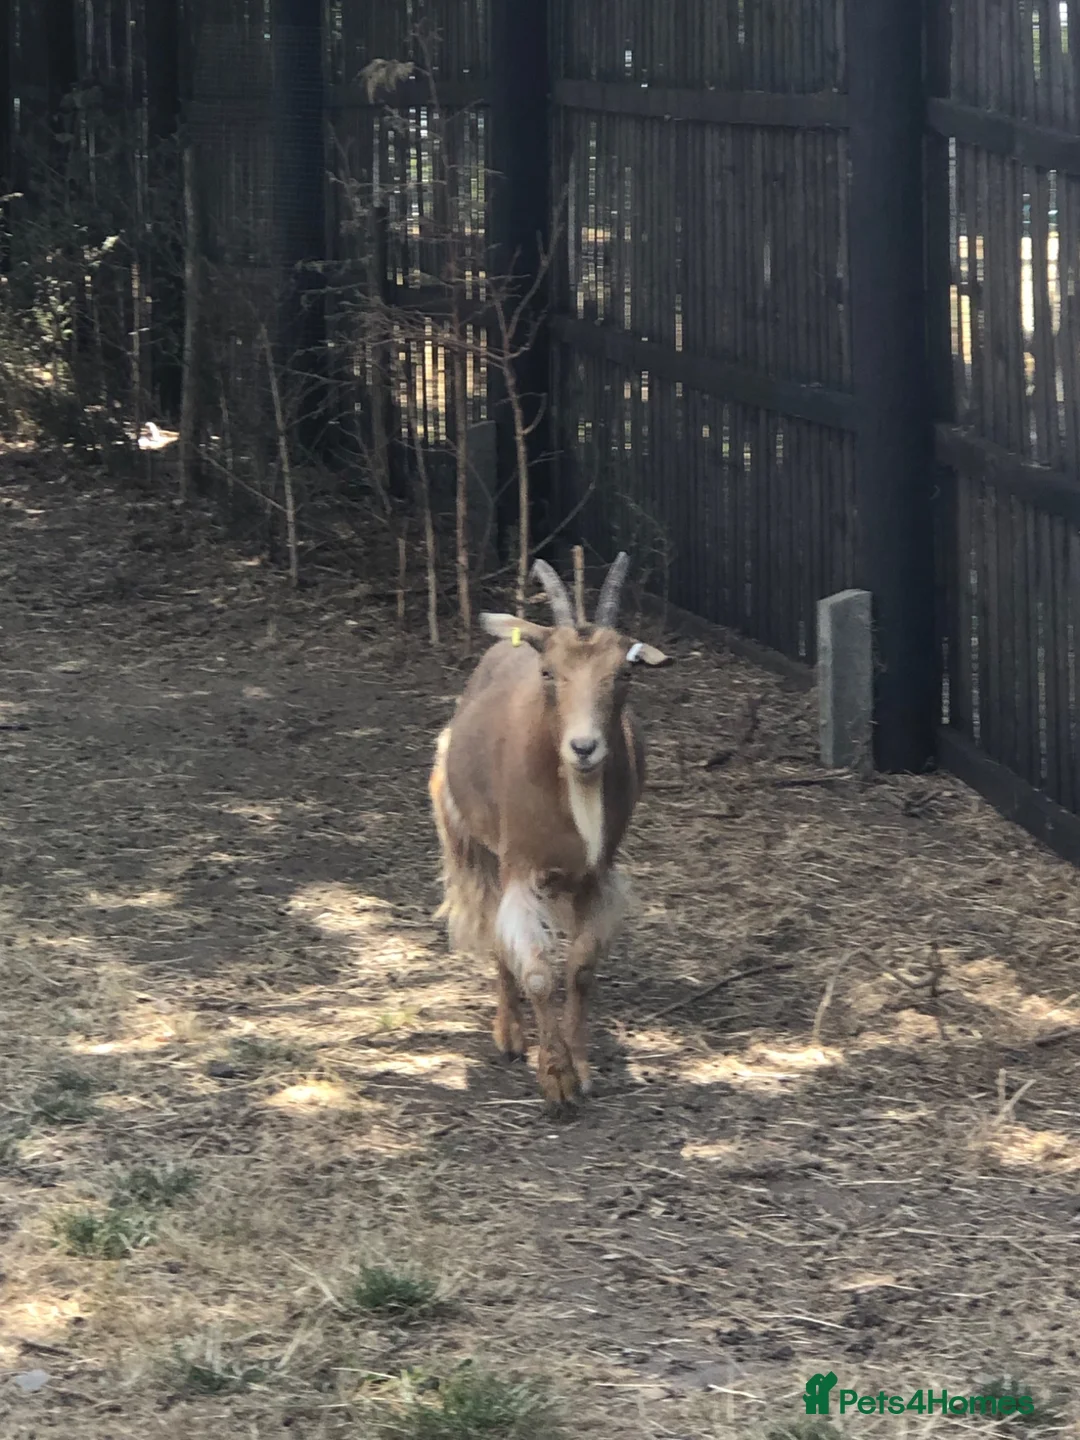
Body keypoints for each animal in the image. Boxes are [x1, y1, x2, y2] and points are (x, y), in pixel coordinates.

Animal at [428, 551, 669, 1107]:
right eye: (549, 674)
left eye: (623, 674)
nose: (584, 748)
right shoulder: (518, 864)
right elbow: (536, 970)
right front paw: (555, 1077)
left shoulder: (597, 873)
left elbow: (579, 968)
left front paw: (579, 1066)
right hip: (475, 843)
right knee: (497, 937)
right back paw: (510, 1034)